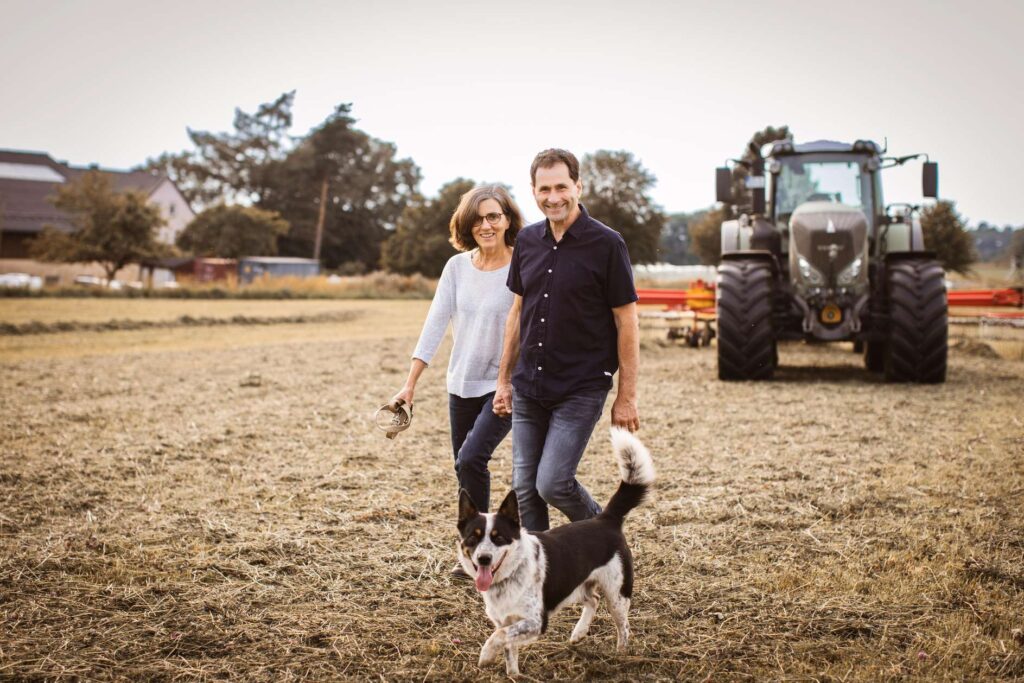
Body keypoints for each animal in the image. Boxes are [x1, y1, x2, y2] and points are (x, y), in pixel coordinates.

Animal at [456, 430, 655, 675]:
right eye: (472, 538)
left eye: (498, 537)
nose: (484, 558)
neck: (509, 576)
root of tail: (606, 519)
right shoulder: (505, 620)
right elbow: (508, 648)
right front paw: (513, 676)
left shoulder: (535, 622)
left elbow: (499, 636)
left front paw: (485, 656)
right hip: (577, 583)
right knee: (593, 599)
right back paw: (578, 633)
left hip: (617, 594)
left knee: (623, 625)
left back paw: (621, 653)